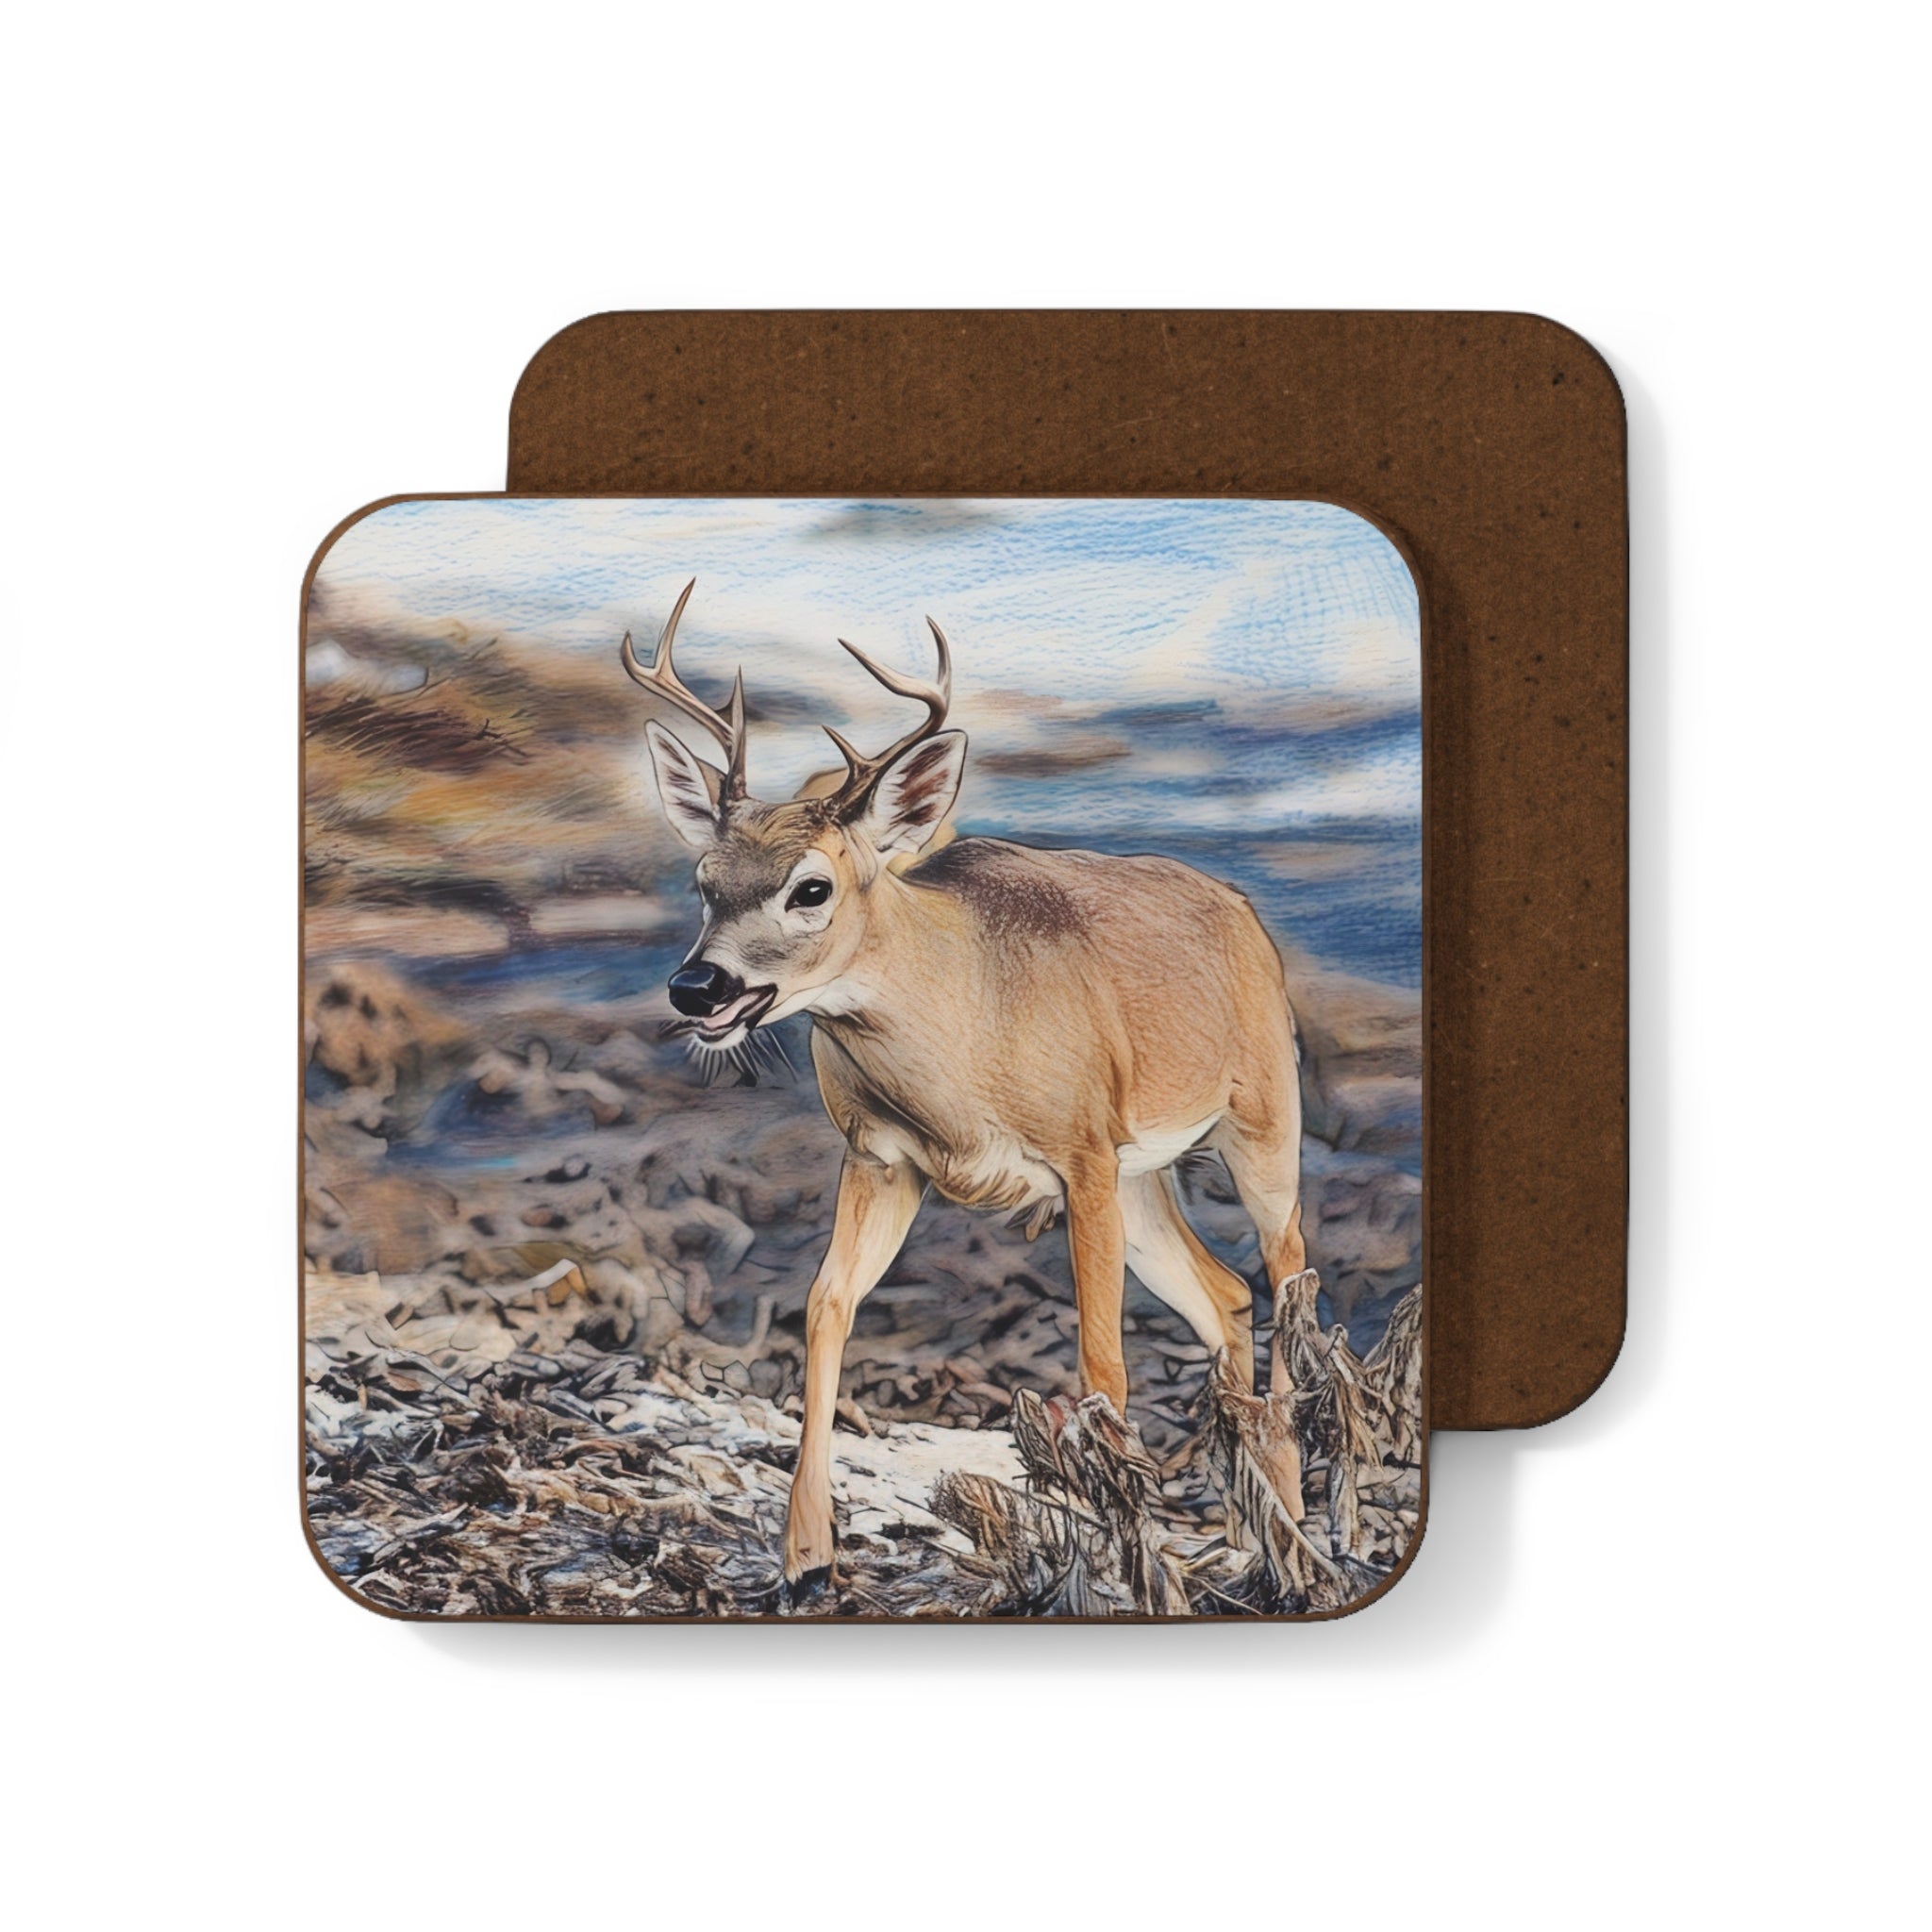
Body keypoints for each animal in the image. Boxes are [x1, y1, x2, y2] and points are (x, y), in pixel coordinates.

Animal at [623, 580, 1310, 1598]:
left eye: (810, 888)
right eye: (703, 880)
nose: (696, 985)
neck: (965, 1046)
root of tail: (1238, 908)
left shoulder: (1078, 1151)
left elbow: (1100, 1359)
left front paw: (1114, 1557)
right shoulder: (879, 1156)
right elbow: (827, 1307)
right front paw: (805, 1554)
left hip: (1260, 1114)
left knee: (1286, 1269)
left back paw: (1293, 1537)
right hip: (1146, 1173)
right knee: (1224, 1292)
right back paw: (1242, 1536)